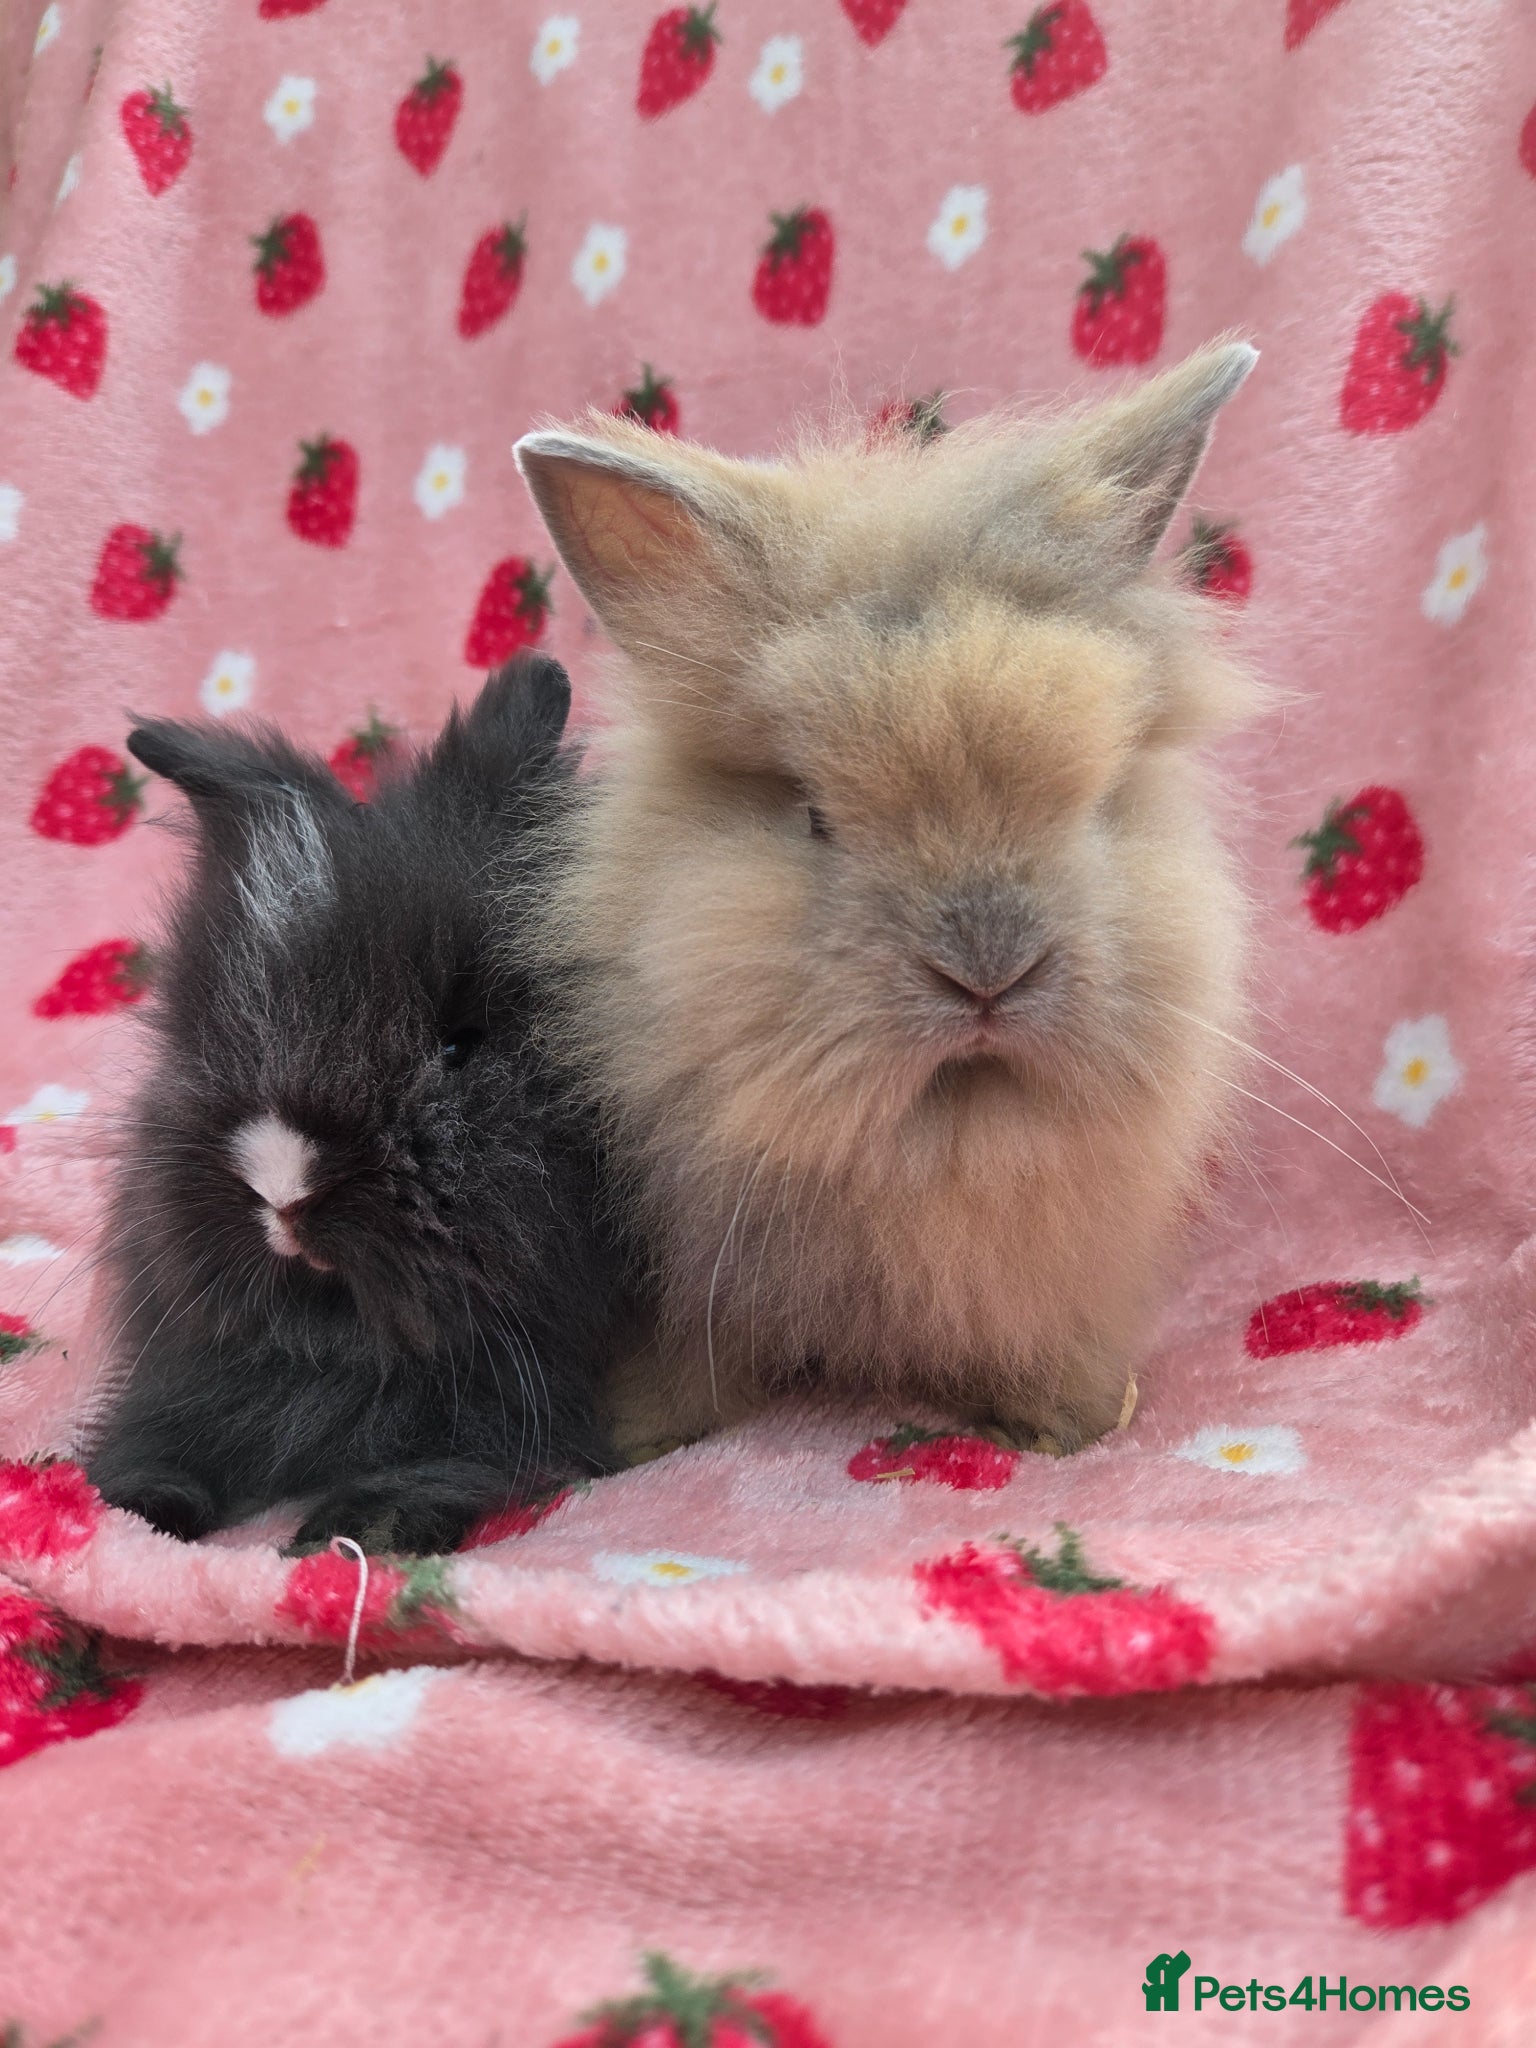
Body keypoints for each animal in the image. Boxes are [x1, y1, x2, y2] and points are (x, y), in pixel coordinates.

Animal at [87, 656, 629, 1555]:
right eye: (213, 1029)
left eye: (458, 1046)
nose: (283, 1187)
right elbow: (160, 1442)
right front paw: (130, 1504)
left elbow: (443, 1467)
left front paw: (349, 1532)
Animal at [511, 340, 1261, 1463]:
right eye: (814, 815)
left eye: (1095, 801)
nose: (989, 971)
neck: (944, 1132)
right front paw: (640, 1438)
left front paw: (1075, 1424)